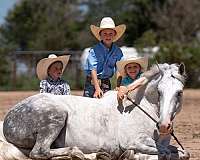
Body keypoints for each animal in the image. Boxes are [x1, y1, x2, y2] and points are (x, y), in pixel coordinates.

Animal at [0, 63, 190, 159]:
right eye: (159, 91)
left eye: (179, 92)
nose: (164, 126)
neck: (142, 109)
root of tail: (9, 117)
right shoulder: (134, 141)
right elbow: (164, 152)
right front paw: (131, 155)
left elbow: (181, 152)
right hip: (56, 117)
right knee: (40, 152)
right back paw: (78, 153)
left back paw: (95, 154)